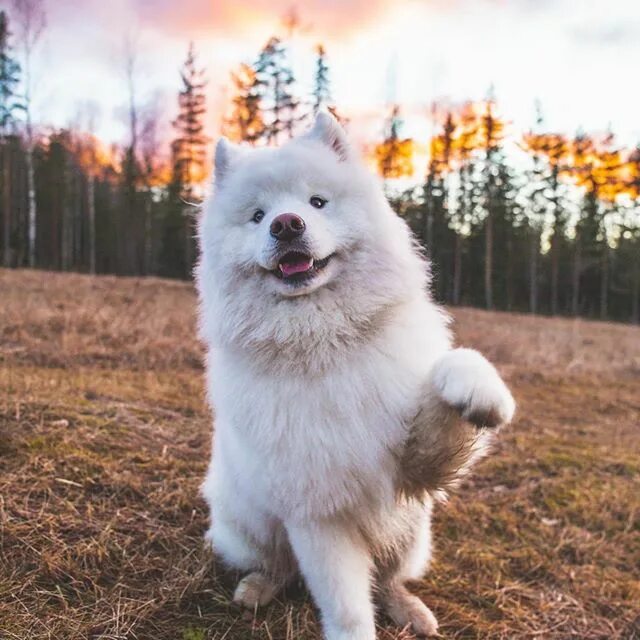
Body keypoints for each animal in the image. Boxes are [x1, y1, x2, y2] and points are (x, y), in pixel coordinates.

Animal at [196, 115, 516, 640]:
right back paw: (259, 587)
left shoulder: (415, 464)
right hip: (250, 523)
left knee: (388, 579)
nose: (286, 224)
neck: (324, 338)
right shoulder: (318, 514)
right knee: (280, 564)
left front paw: (481, 390)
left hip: (411, 530)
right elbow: (346, 606)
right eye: (258, 215)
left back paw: (409, 608)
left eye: (317, 202)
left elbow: (452, 371)